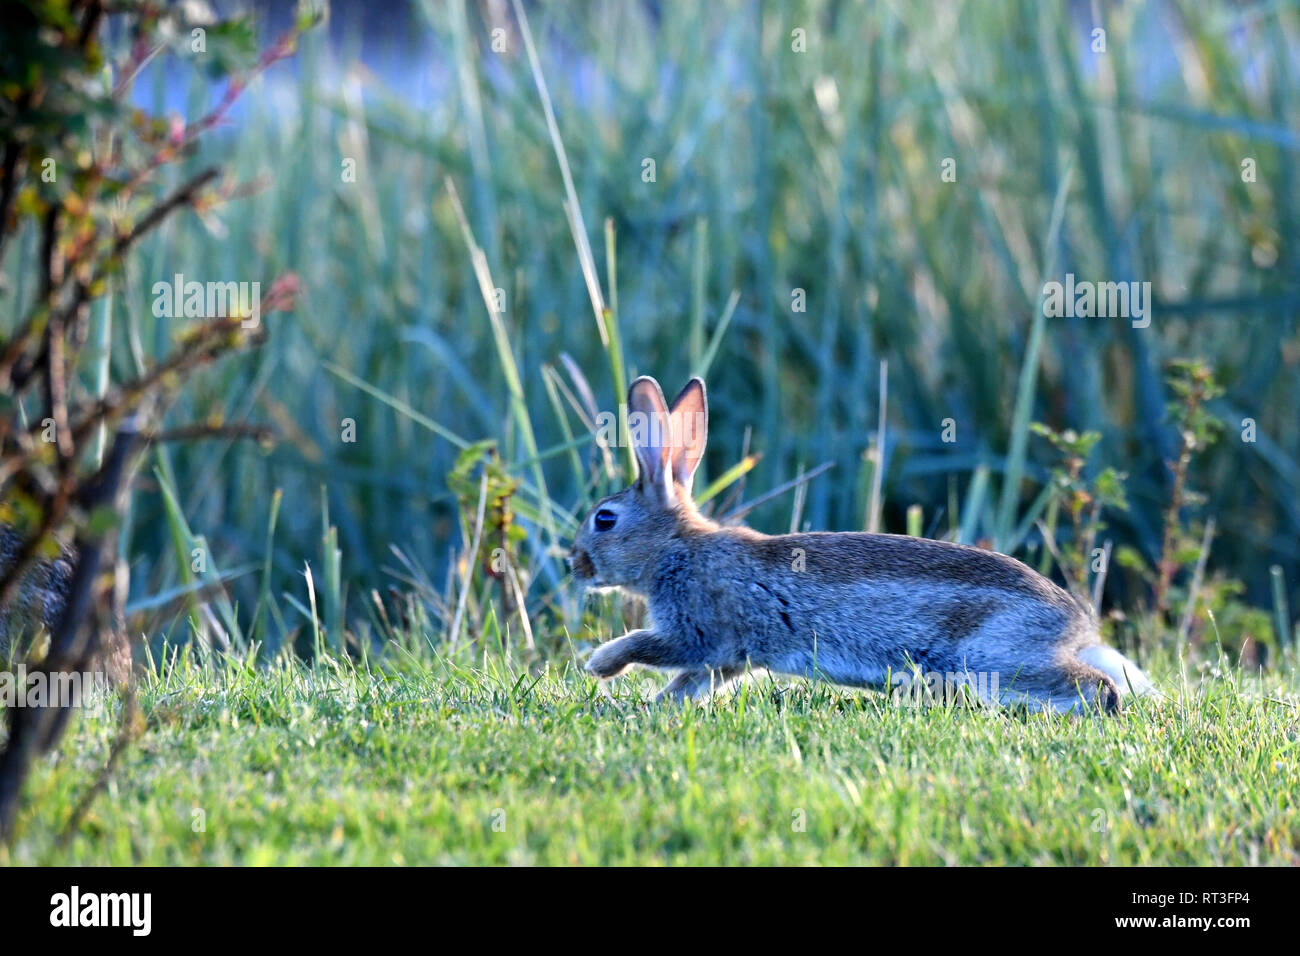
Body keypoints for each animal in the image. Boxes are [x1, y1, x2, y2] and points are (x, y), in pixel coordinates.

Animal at [569, 375, 1154, 713]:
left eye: (604, 519)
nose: (576, 565)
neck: (675, 547)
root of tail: (1077, 629)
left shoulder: (699, 629)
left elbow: (650, 646)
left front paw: (599, 664)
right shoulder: (726, 655)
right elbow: (690, 683)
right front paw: (651, 707)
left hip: (994, 659)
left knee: (1094, 689)